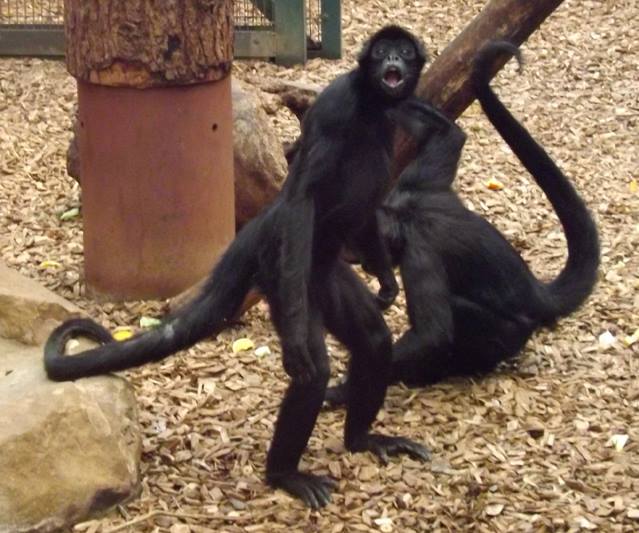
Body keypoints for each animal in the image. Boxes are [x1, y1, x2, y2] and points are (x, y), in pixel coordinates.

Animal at [46, 27, 430, 510]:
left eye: (403, 52)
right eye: (382, 52)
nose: (392, 61)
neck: (371, 103)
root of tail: (265, 226)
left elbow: (366, 213)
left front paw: (387, 283)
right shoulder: (336, 107)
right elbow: (304, 196)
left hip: (322, 276)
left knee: (376, 342)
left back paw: (361, 440)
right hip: (287, 276)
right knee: (313, 370)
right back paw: (285, 474)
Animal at [328, 40, 604, 404]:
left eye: (363, 256)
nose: (369, 268)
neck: (407, 215)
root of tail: (536, 293)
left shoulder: (420, 254)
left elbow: (433, 334)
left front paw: (344, 388)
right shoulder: (418, 187)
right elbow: (449, 134)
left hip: (508, 333)